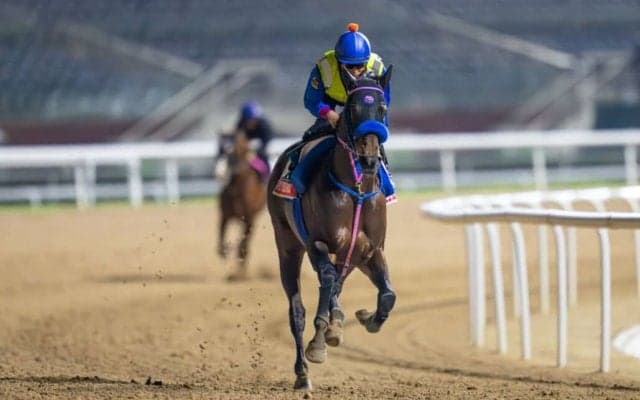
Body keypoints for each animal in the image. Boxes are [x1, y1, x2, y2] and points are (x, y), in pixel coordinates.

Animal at [217, 130, 268, 281]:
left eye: (234, 151)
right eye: (219, 149)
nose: (219, 173)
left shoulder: (249, 218)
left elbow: (242, 246)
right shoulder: (225, 216)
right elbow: (221, 240)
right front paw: (224, 252)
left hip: (251, 220)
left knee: (246, 244)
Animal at [267, 66, 395, 391]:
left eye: (382, 108)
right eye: (352, 109)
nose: (369, 159)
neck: (356, 191)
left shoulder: (369, 250)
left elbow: (387, 295)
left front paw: (363, 318)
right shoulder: (318, 244)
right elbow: (326, 282)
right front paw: (319, 342)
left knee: (337, 280)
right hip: (287, 244)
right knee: (297, 309)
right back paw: (302, 372)